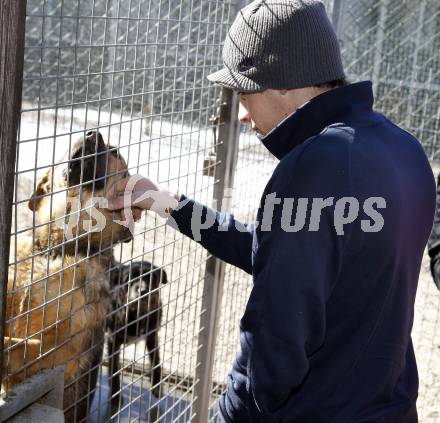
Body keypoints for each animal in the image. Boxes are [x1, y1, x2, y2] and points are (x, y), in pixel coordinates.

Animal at [107, 262, 168, 414]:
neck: (137, 314)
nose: (143, 291)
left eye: (151, 277)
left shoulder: (152, 335)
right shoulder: (113, 340)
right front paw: (115, 396)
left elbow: (156, 361)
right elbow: (114, 370)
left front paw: (157, 386)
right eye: (129, 278)